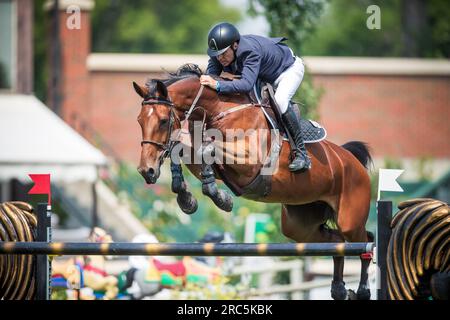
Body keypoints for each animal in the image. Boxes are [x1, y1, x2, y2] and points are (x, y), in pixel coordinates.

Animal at [132, 64, 374, 300]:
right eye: (140, 121)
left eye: (163, 121)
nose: (146, 171)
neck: (219, 109)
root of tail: (351, 160)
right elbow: (182, 150)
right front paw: (187, 198)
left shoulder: (249, 161)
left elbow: (207, 148)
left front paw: (221, 199)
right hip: (300, 225)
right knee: (336, 242)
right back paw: (339, 289)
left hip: (349, 220)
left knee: (364, 240)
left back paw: (362, 290)